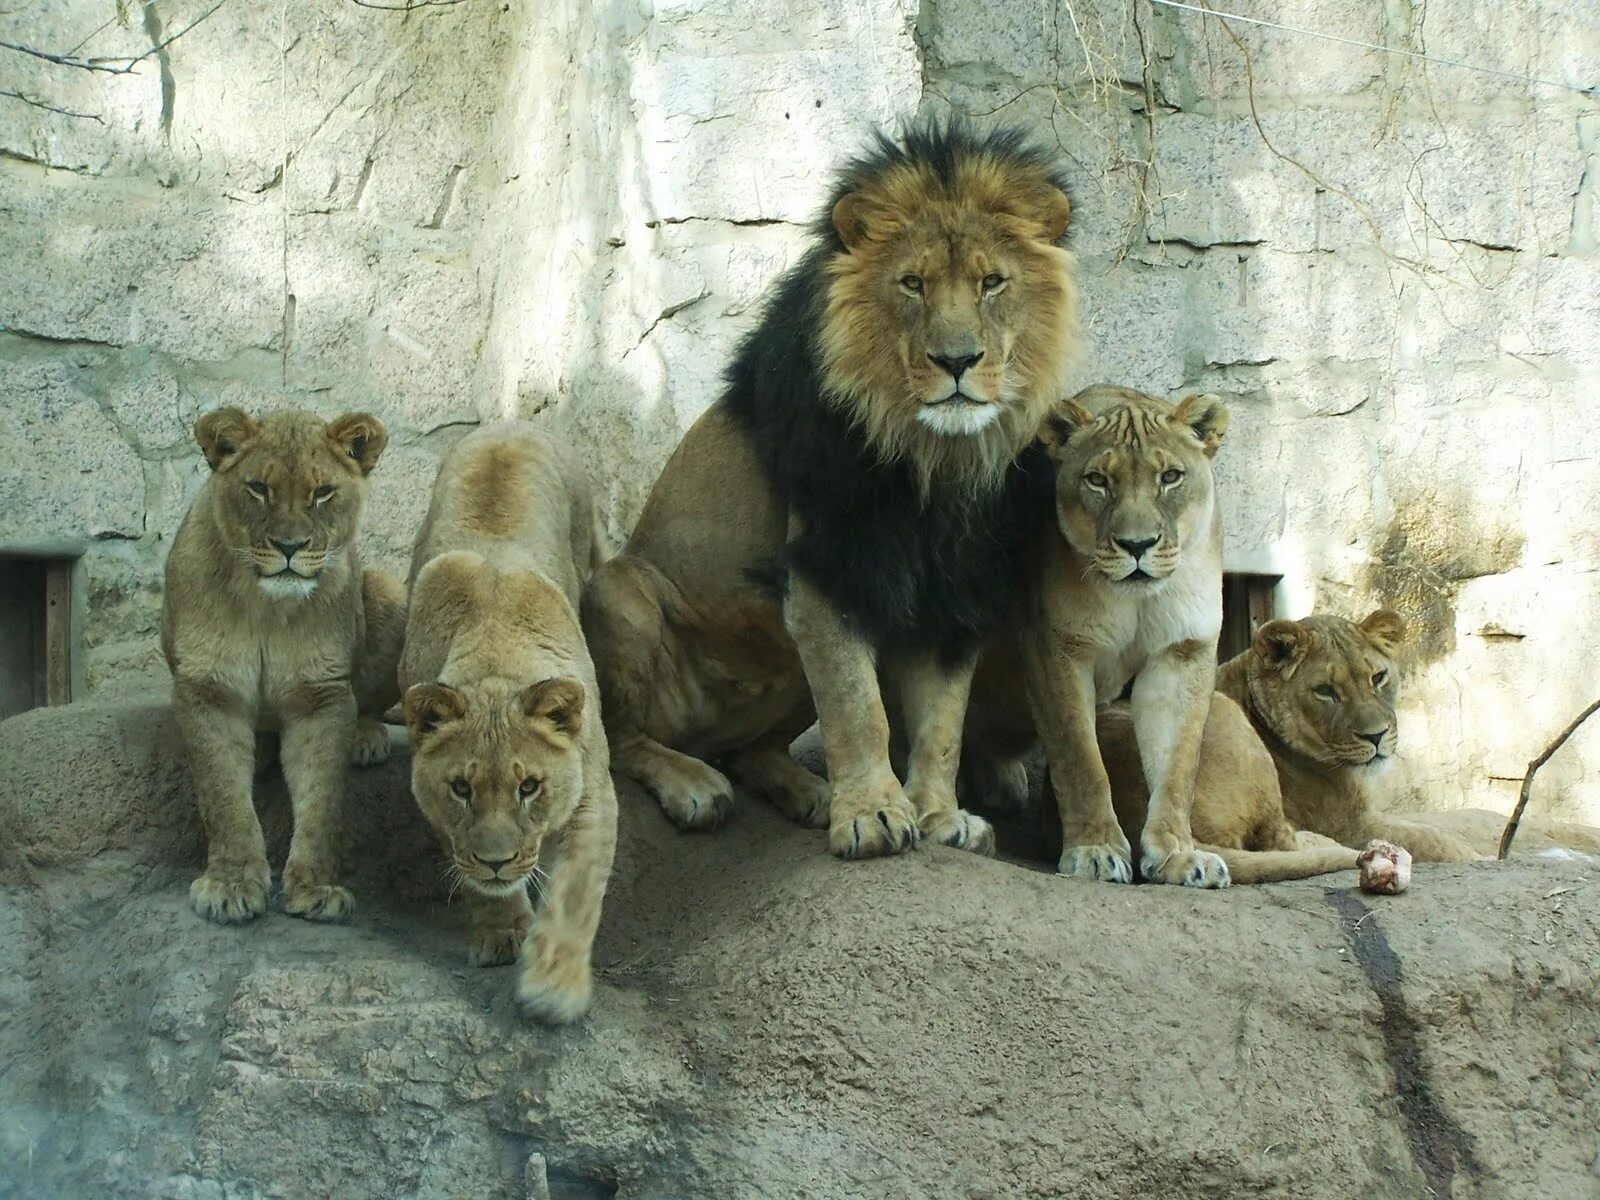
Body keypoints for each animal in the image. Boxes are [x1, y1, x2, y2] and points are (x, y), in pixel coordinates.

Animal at [162, 409, 400, 928]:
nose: (289, 546)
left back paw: (365, 737)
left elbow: (323, 800)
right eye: (257, 489)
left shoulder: (321, 696)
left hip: (391, 590)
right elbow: (223, 796)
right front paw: (230, 886)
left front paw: (316, 888)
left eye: (323, 492)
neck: (268, 607)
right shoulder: (209, 689)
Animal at [400, 422, 617, 1024]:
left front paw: (554, 987)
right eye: (460, 788)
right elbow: (472, 874)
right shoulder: (440, 814)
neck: (496, 659)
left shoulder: (593, 793)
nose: (497, 862)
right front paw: (501, 932)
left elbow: (573, 892)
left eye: (530, 787)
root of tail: (511, 423)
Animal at [579, 120, 1075, 857]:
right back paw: (693, 784)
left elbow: (944, 725)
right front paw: (873, 816)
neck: (936, 460)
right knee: (617, 742)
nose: (957, 361)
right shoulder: (825, 565)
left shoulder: (952, 589)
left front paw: (939, 814)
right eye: (912, 284)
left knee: (749, 752)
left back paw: (805, 792)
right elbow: (858, 707)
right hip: (622, 594)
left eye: (992, 282)